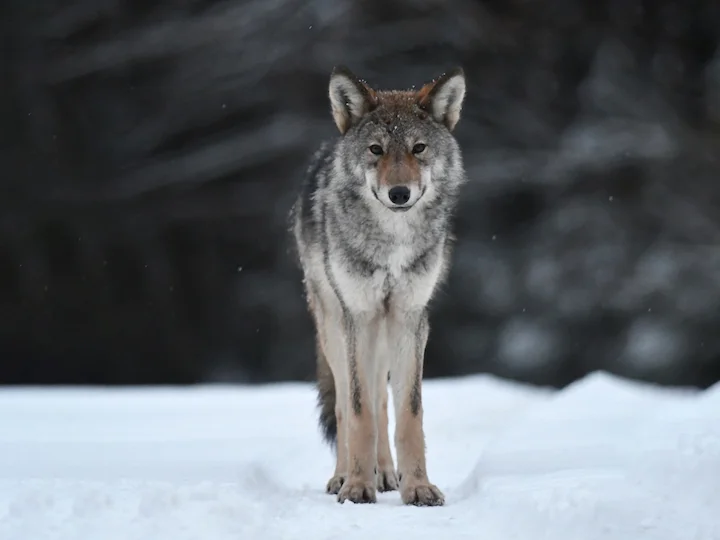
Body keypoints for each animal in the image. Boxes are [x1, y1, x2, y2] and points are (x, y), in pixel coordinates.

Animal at [290, 65, 467, 506]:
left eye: (418, 148)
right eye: (375, 150)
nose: (399, 193)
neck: (393, 243)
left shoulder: (410, 318)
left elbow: (408, 412)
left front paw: (417, 486)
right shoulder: (359, 315)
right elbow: (357, 410)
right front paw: (356, 486)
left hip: (384, 333)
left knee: (382, 399)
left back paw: (386, 473)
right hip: (337, 327)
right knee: (347, 403)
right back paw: (344, 476)